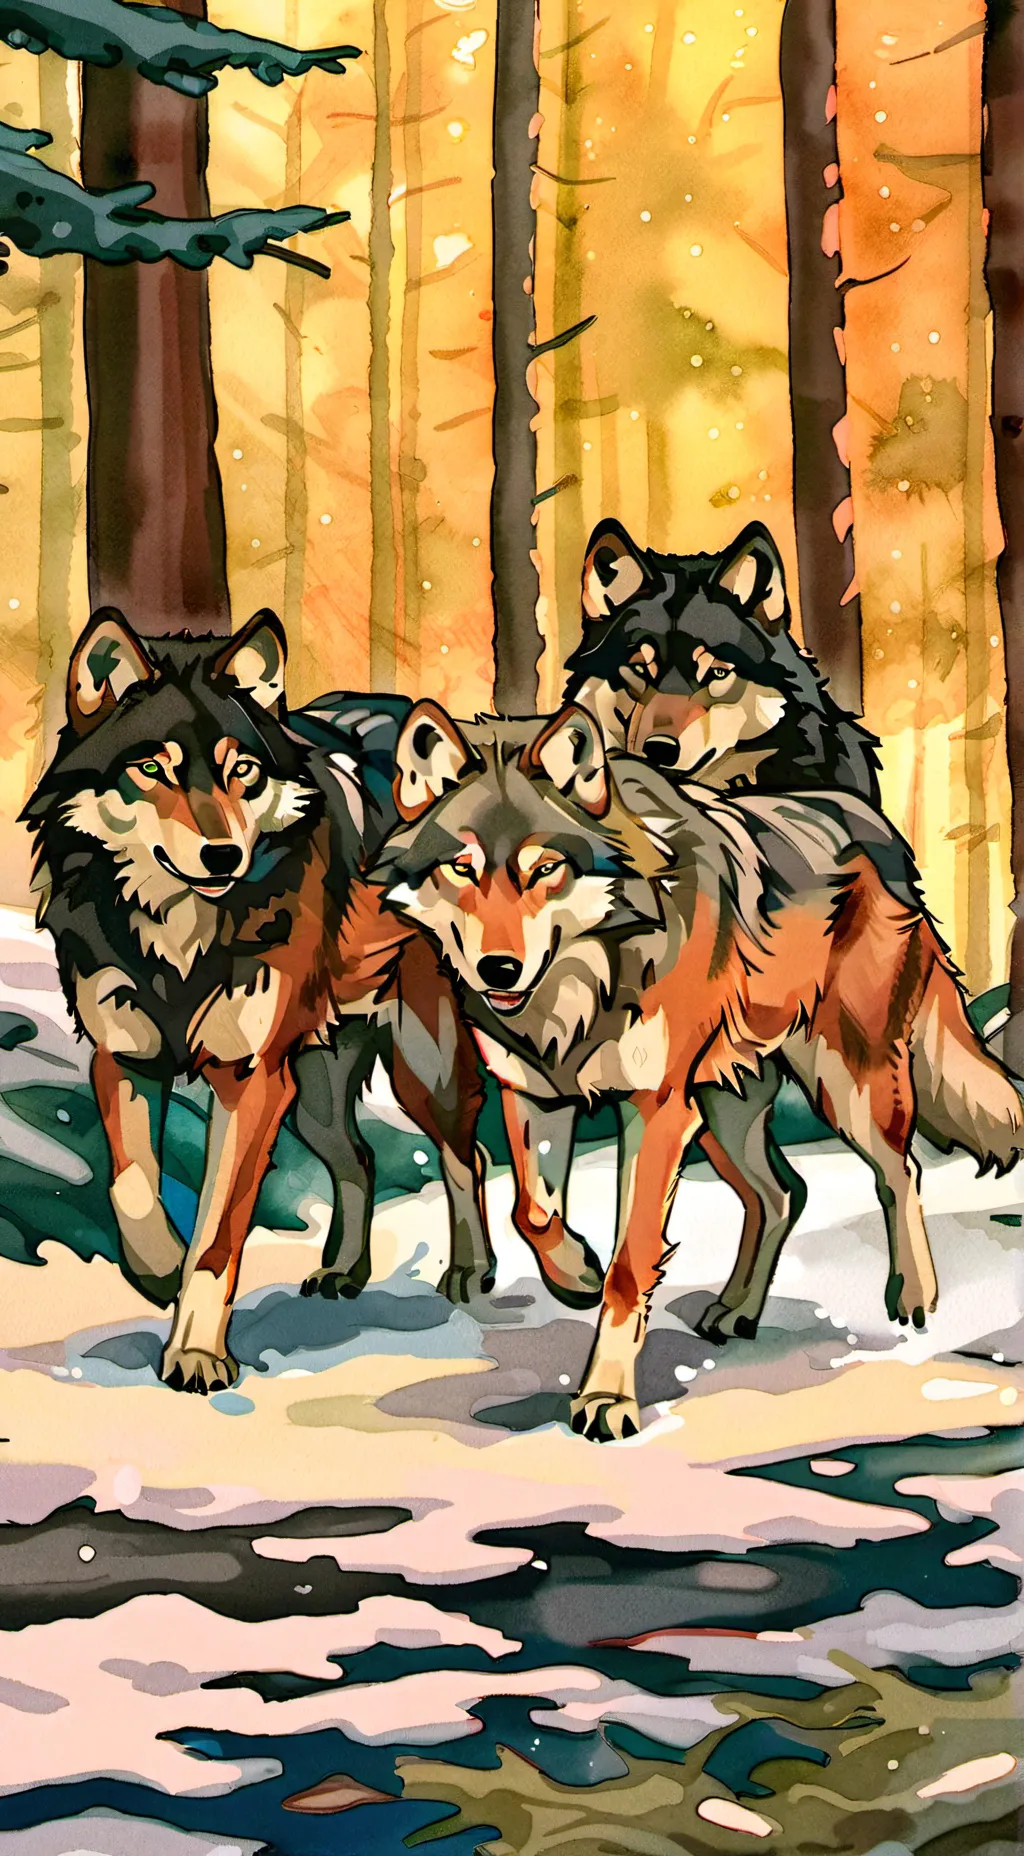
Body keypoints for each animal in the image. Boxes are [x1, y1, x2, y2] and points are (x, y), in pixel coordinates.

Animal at [25, 609, 493, 1394]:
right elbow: (131, 1187)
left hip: (417, 1070)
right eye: (153, 769)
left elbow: (218, 1236)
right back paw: (342, 1271)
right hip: (312, 1097)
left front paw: (196, 1354)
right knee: (360, 1158)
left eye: (240, 770)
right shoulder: (123, 1059)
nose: (222, 857)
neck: (180, 935)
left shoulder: (248, 1081)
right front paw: (158, 1271)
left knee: (469, 1153)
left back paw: (470, 1269)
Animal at [374, 699, 1023, 1440]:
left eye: (545, 870)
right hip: (720, 1112)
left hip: (842, 1086)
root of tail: (882, 831)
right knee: (783, 1192)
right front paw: (576, 1275)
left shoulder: (655, 1110)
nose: (499, 969)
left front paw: (607, 1399)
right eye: (461, 869)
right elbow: (533, 1212)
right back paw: (737, 1310)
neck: (584, 994)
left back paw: (914, 1297)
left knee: (899, 1170)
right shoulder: (534, 1095)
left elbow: (632, 1262)